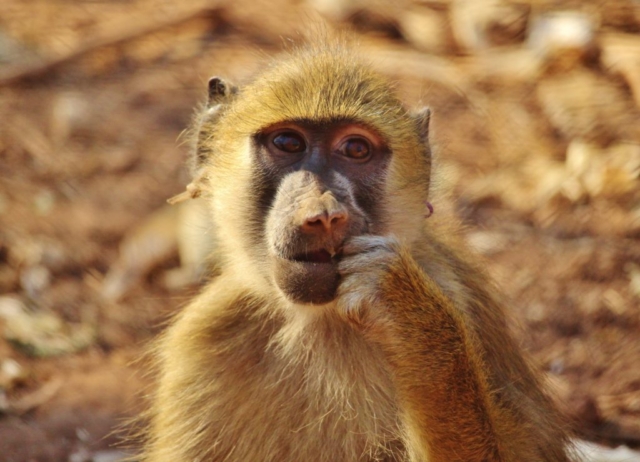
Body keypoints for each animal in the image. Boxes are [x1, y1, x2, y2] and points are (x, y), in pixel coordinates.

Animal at [140, 42, 574, 462]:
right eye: (287, 143)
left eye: (355, 149)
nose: (325, 215)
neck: (322, 323)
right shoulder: (206, 338)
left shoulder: (454, 291)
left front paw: (408, 314)